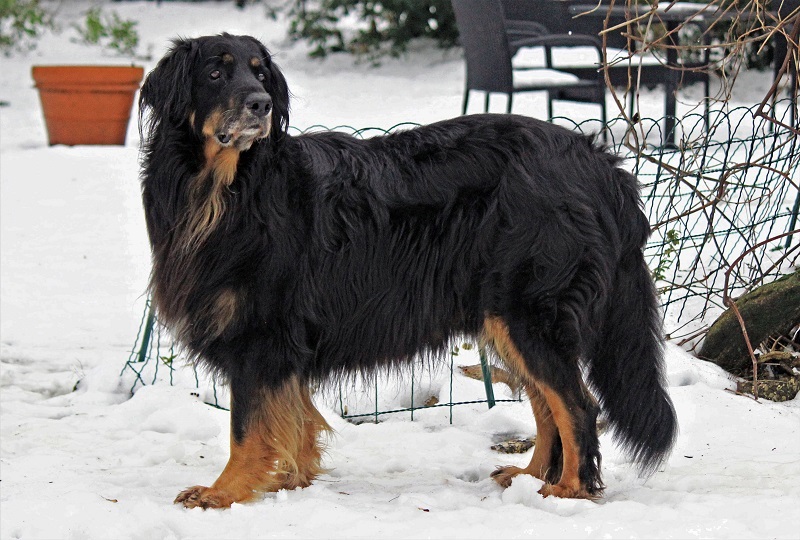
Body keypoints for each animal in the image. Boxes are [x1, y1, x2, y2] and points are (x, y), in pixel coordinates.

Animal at [139, 33, 677, 509]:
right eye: (215, 73)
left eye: (261, 74)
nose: (261, 104)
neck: (229, 187)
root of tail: (604, 166)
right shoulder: (283, 342)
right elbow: (290, 418)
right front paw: (290, 480)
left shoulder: (262, 333)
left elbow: (246, 428)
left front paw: (224, 492)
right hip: (504, 316)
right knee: (548, 404)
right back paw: (531, 477)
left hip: (529, 312)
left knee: (577, 406)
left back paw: (567, 492)